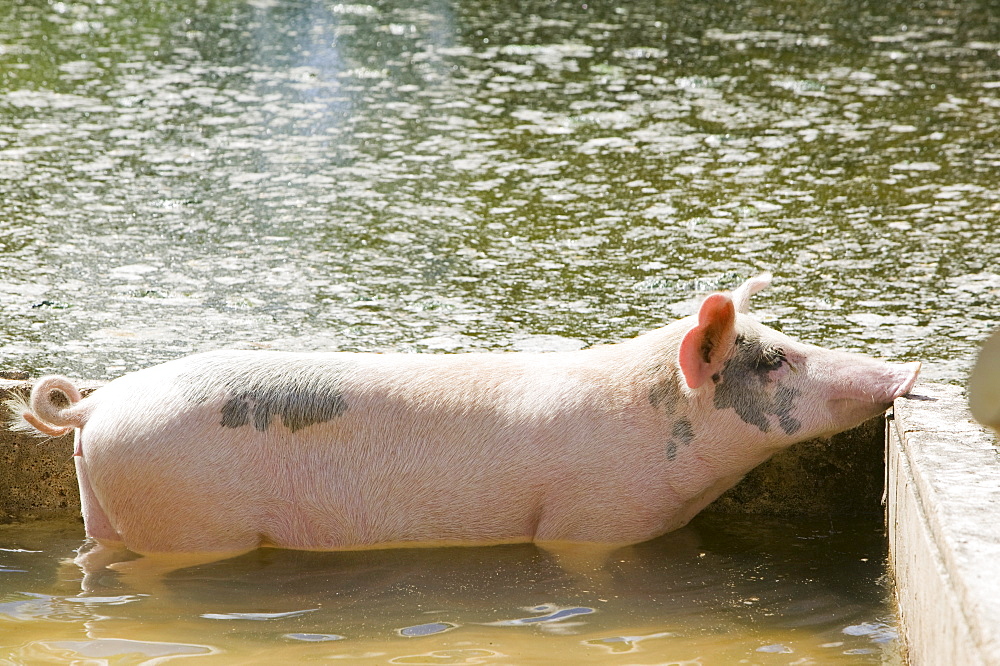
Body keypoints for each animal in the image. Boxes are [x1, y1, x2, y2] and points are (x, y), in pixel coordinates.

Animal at [9, 272, 920, 568]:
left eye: (786, 344)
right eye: (773, 364)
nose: (908, 370)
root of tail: (99, 401)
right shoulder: (591, 519)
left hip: (107, 505)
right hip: (188, 519)